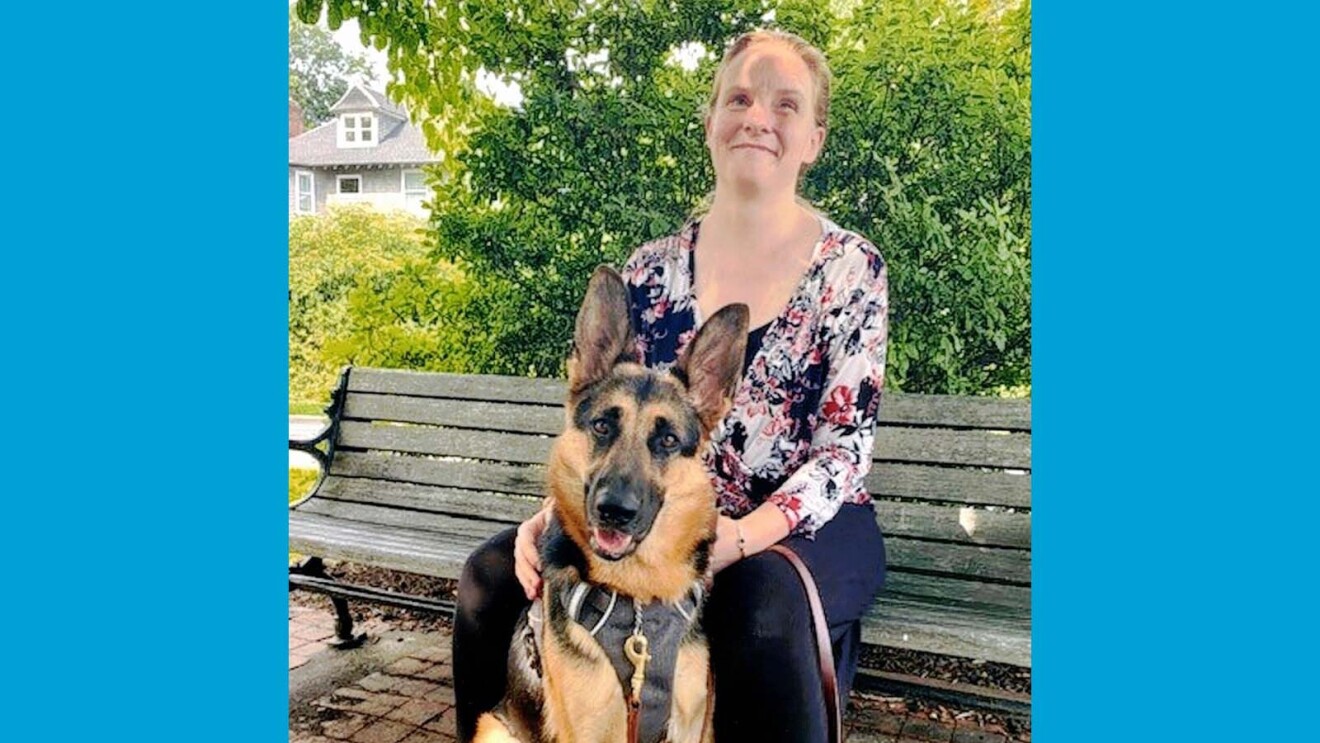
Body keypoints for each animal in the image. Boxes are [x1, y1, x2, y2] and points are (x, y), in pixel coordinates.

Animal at [475, 267, 749, 743]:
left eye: (668, 440)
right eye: (603, 425)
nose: (614, 511)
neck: (638, 598)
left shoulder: (691, 726)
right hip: (491, 729)